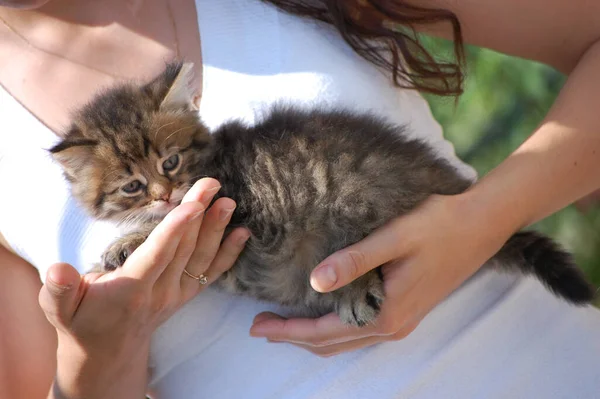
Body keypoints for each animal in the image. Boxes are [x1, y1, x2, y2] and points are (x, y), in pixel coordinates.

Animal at [50, 64, 596, 328]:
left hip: (353, 191)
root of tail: (441, 176)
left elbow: (172, 221)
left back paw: (354, 288)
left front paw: (127, 244)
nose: (164, 194)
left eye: (170, 162)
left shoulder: (234, 206)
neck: (215, 161)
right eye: (132, 185)